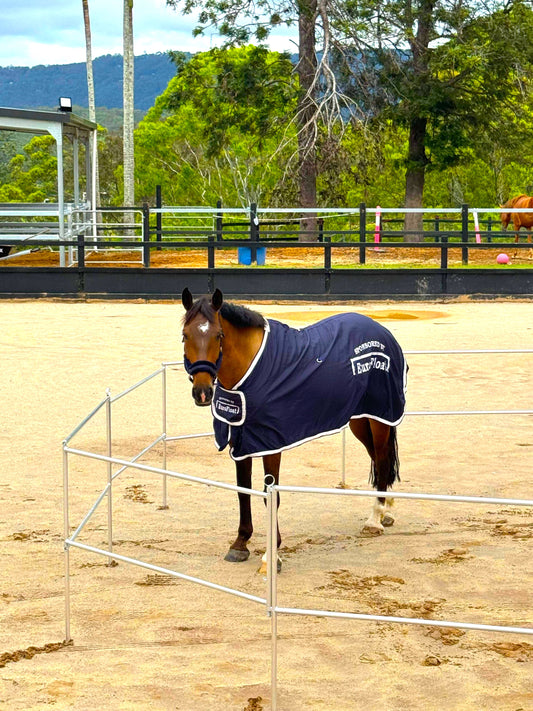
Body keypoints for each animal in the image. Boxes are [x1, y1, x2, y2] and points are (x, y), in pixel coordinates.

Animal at [181, 288, 408, 571]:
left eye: (218, 335)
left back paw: (375, 519)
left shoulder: (270, 443)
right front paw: (240, 543)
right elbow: (243, 490)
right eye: (185, 335)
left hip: (380, 418)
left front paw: (271, 556)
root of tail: (381, 330)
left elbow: (270, 495)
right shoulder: (241, 441)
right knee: (378, 459)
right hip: (360, 418)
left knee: (383, 458)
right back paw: (386, 509)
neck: (251, 371)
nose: (202, 392)